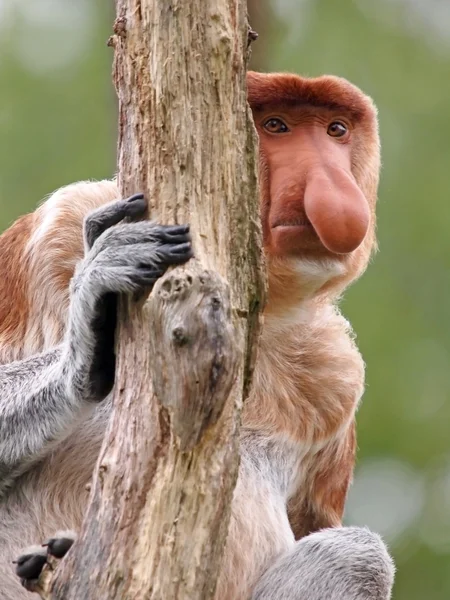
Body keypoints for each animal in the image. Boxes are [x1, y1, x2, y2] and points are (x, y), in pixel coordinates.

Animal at [0, 71, 394, 600]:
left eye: (336, 130)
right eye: (276, 126)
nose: (332, 185)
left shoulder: (337, 374)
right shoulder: (56, 230)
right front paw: (98, 313)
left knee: (358, 555)